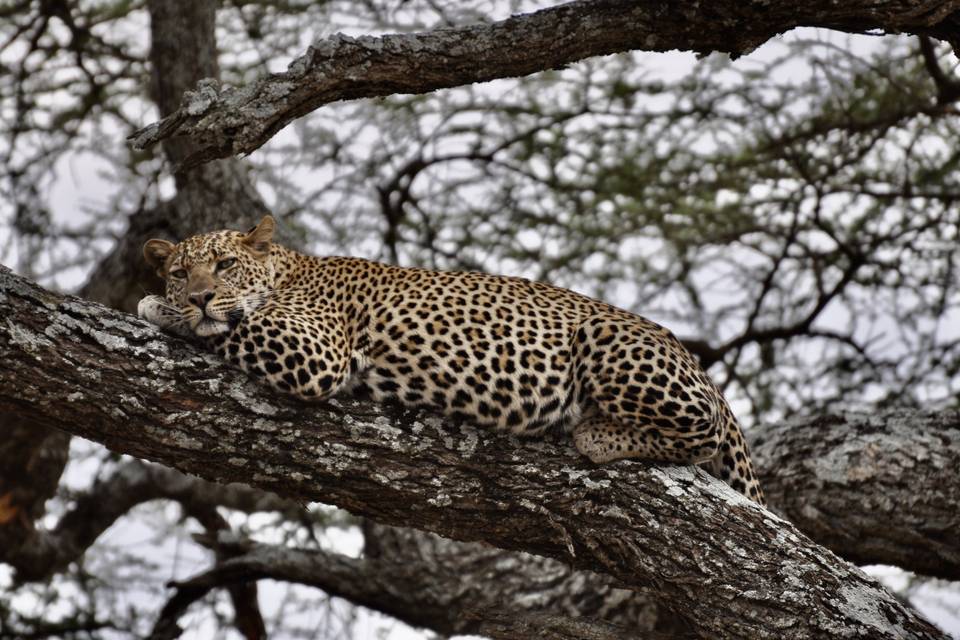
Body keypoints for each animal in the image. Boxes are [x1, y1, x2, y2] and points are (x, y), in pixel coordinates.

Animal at [137, 216, 764, 504]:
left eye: (224, 266)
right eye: (180, 272)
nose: (197, 296)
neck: (287, 270)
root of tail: (696, 362)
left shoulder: (314, 350)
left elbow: (230, 327)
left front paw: (156, 309)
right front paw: (167, 305)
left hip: (606, 336)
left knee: (703, 429)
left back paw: (596, 433)